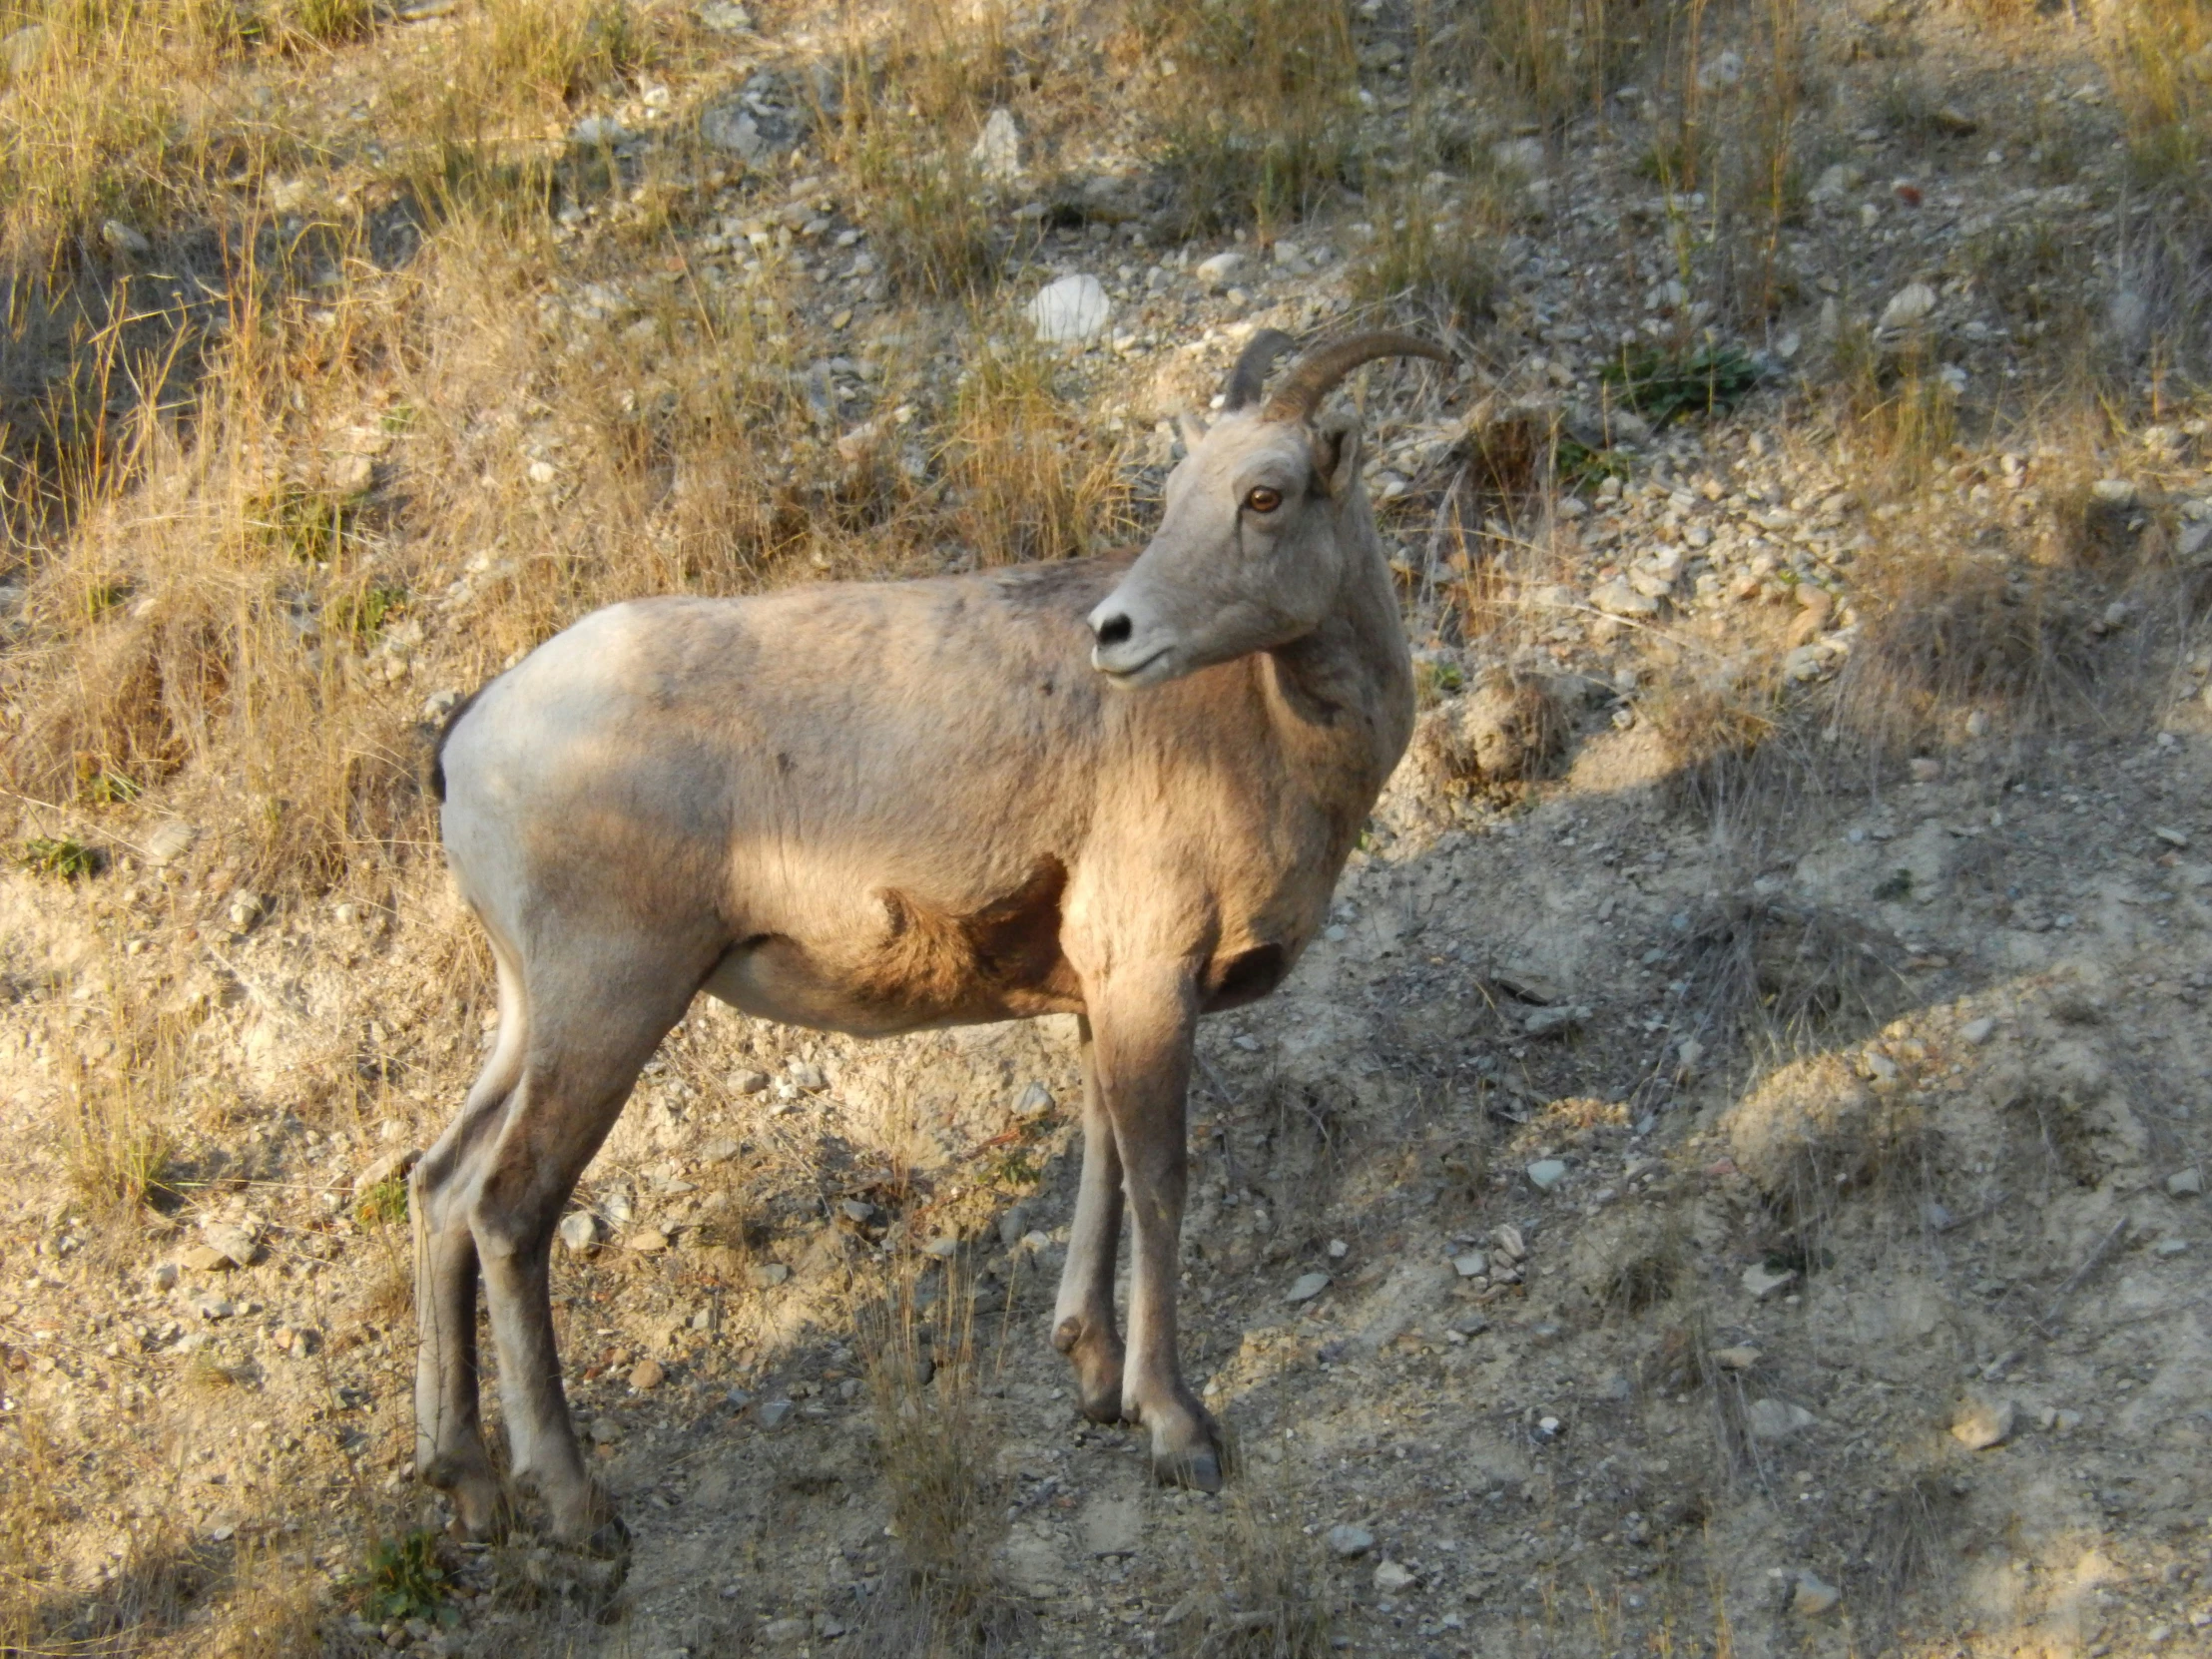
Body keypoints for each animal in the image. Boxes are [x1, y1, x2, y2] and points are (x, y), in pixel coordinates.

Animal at [415, 331, 1450, 1557]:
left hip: (529, 1013)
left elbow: (1101, 1156)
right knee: (508, 1206)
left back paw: (467, 1487)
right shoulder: (1151, 981)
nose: (1115, 636)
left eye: (1263, 493)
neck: (1274, 739)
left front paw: (1094, 1379)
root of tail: (469, 740)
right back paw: (577, 1510)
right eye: (1179, 494)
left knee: (439, 1186)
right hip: (607, 1003)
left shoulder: (1105, 996)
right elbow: (1158, 1179)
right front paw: (1175, 1428)